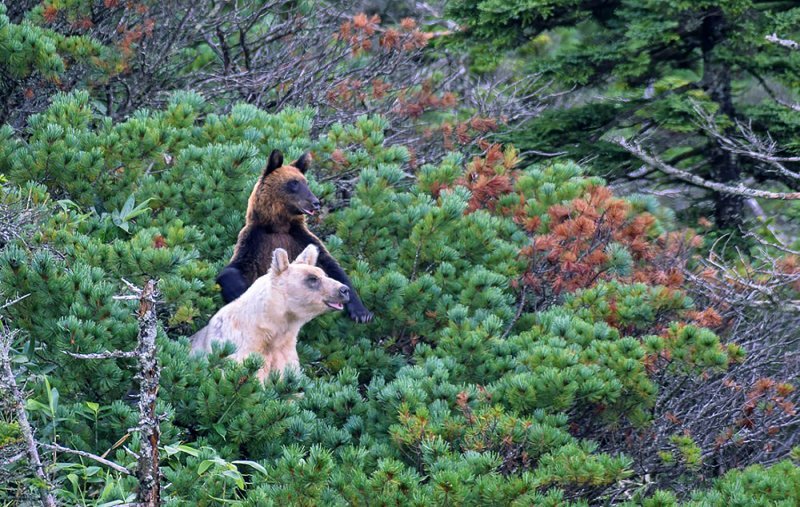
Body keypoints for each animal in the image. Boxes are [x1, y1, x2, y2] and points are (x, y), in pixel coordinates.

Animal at [216, 150, 372, 322]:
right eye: (294, 183)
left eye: (306, 182)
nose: (315, 202)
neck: (279, 226)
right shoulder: (254, 240)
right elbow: (236, 268)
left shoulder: (300, 237)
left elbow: (331, 267)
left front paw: (361, 312)